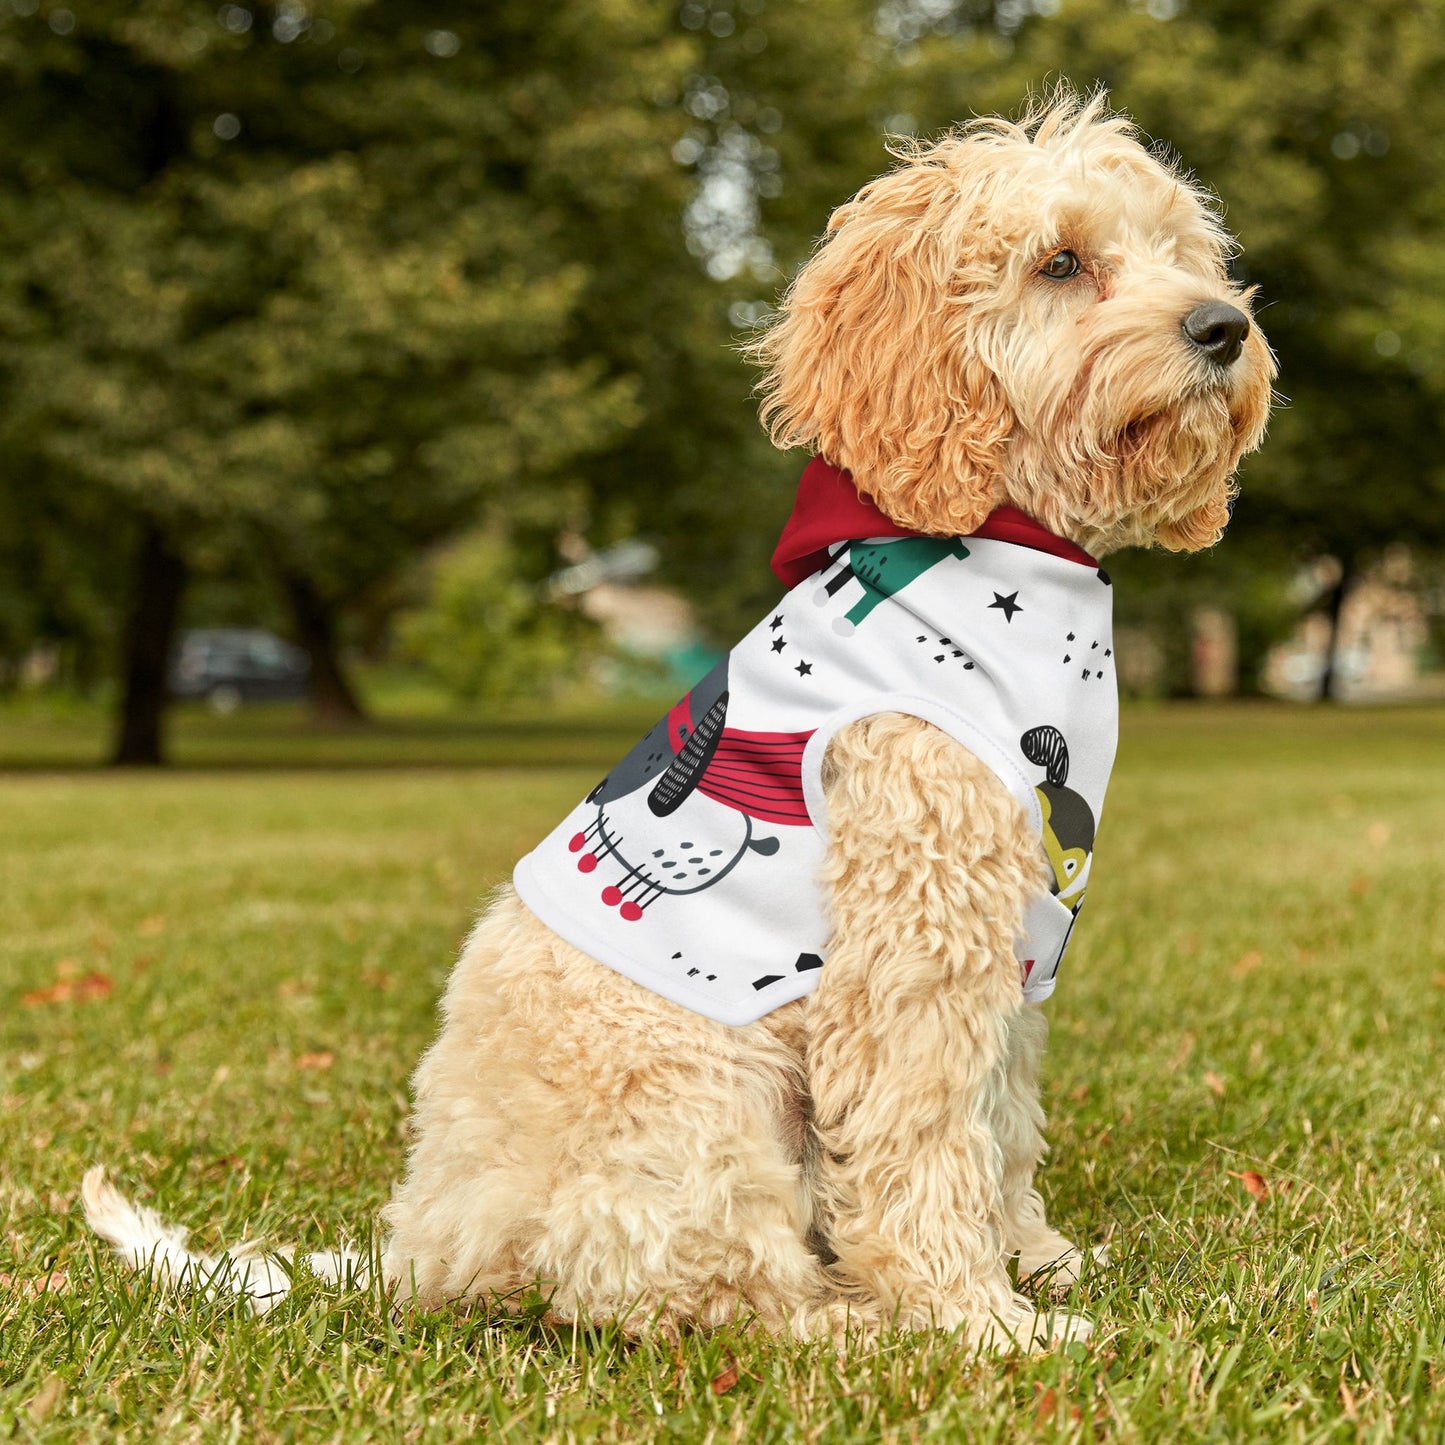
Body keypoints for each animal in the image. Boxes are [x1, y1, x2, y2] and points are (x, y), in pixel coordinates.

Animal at [84, 96, 1271, 1346]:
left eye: (1181, 253)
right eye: (1060, 262)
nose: (1222, 326)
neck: (1001, 546)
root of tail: (423, 1248)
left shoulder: (1013, 937)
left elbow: (1000, 1122)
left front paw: (1035, 1259)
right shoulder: (913, 941)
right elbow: (924, 1139)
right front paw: (977, 1319)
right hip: (703, 1106)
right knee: (705, 1289)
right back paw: (849, 1319)